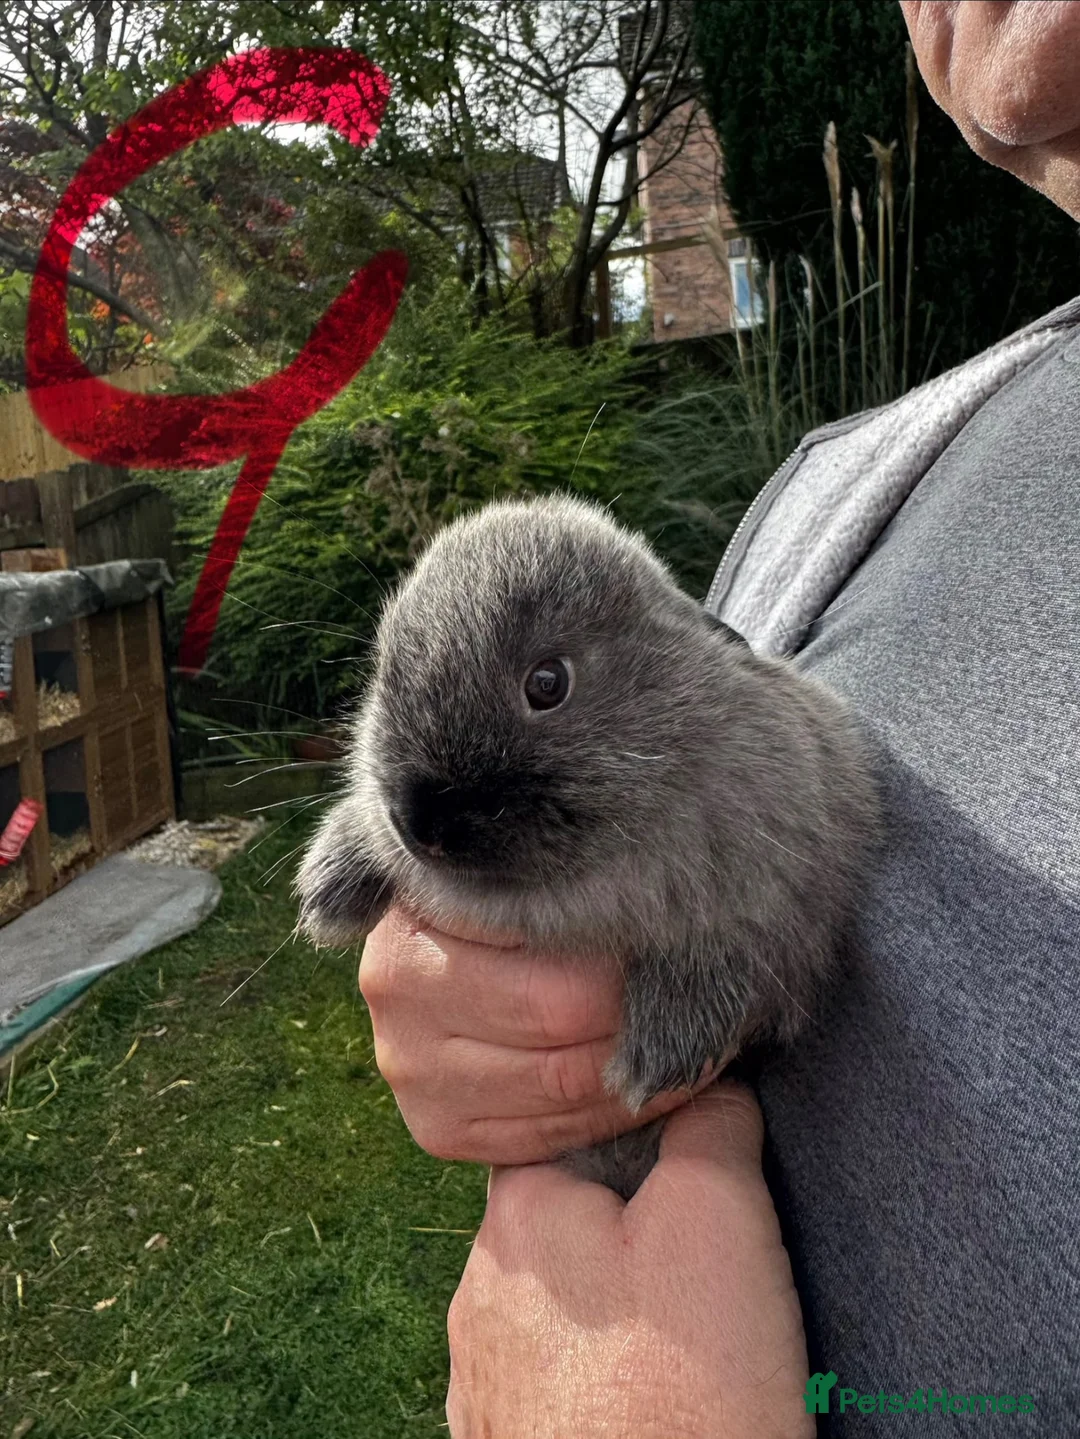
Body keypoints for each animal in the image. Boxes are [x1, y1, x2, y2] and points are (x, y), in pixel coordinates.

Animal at [294, 494, 880, 1198]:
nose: (420, 827)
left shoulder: (785, 886)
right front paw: (328, 889)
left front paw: (659, 1054)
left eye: (548, 683)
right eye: (385, 677)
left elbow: (729, 950)